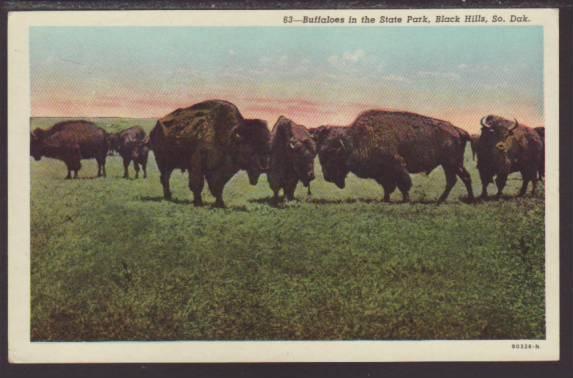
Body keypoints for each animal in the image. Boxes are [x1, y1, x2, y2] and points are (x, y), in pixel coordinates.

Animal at [312, 109, 474, 204]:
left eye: (332, 155)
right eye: (321, 155)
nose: (327, 177)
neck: (356, 139)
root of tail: (457, 130)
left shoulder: (397, 166)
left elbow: (403, 184)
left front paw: (405, 200)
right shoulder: (383, 173)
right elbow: (387, 187)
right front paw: (384, 199)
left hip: (452, 163)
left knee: (463, 178)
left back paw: (467, 199)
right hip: (449, 164)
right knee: (453, 180)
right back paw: (441, 200)